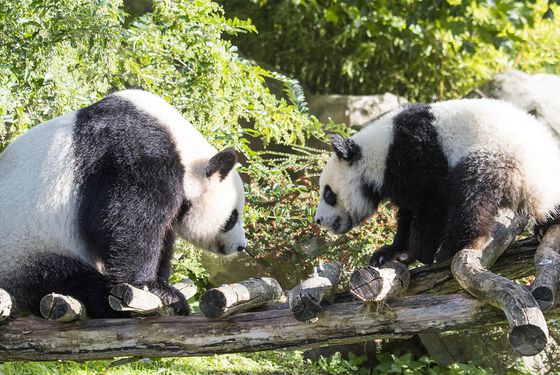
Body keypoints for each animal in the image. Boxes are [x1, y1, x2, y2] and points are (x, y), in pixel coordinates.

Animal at [0, 90, 246, 318]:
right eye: (232, 218)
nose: (241, 247)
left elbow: (161, 235)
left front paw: (163, 284)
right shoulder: (135, 151)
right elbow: (126, 221)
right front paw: (154, 289)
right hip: (26, 248)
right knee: (65, 278)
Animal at [316, 98, 560, 266]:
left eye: (328, 193)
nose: (318, 220)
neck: (381, 152)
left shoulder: (419, 155)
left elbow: (432, 206)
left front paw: (416, 252)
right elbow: (408, 213)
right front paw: (390, 252)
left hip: (499, 157)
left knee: (471, 195)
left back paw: (453, 247)